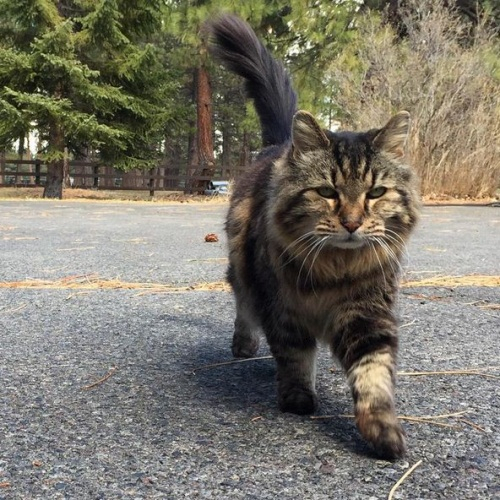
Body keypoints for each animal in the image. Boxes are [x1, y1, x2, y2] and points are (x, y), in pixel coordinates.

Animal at [208, 13, 422, 458]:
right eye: (327, 192)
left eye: (376, 192)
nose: (352, 222)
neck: (334, 270)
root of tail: (280, 144)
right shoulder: (283, 310)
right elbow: (294, 358)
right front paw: (297, 399)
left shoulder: (366, 313)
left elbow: (373, 374)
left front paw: (383, 431)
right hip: (243, 271)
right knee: (243, 307)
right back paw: (243, 345)